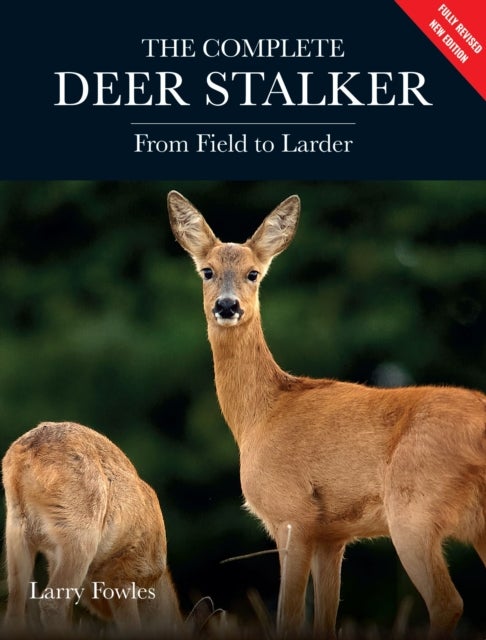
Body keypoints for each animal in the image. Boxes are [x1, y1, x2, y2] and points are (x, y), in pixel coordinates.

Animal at [2, 420, 182, 635]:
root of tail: (26, 454)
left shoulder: (53, 559)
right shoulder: (124, 574)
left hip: (17, 526)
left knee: (15, 606)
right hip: (79, 533)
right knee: (51, 603)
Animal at [167, 190, 486, 639]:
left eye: (253, 273)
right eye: (207, 271)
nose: (227, 306)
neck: (260, 416)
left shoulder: (291, 515)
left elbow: (289, 618)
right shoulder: (332, 535)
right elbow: (324, 621)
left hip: (414, 509)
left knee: (447, 602)